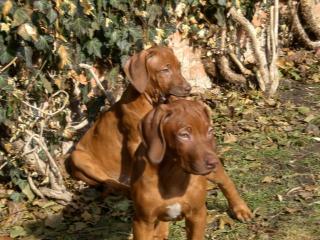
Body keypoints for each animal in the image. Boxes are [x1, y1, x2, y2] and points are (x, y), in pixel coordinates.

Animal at [69, 47, 190, 195]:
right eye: (165, 70)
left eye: (179, 67)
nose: (188, 88)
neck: (149, 101)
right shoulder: (135, 142)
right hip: (78, 158)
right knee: (109, 182)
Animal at [130, 98, 252, 239]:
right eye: (184, 135)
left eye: (209, 131)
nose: (214, 162)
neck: (173, 173)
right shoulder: (143, 222)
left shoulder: (197, 214)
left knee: (227, 183)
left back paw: (241, 208)